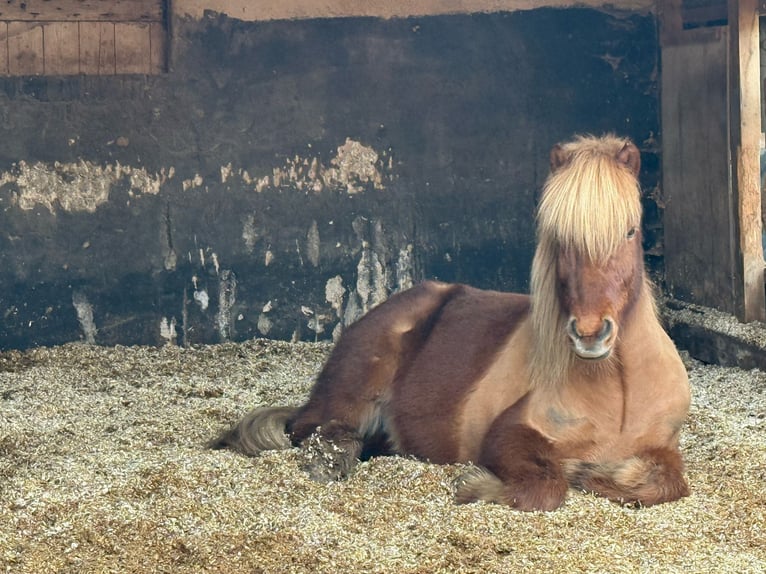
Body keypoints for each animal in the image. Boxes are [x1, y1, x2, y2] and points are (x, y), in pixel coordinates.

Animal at [212, 134, 691, 511]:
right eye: (559, 239)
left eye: (630, 231)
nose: (590, 333)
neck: (619, 390)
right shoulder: (511, 432)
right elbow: (546, 487)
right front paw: (477, 486)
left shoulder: (663, 448)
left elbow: (667, 484)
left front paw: (600, 476)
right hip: (352, 389)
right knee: (319, 430)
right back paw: (328, 462)